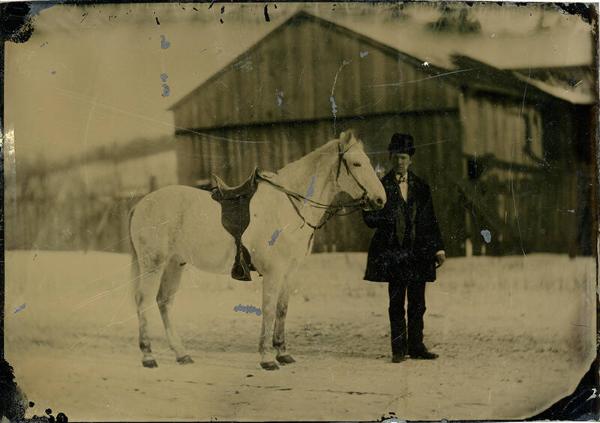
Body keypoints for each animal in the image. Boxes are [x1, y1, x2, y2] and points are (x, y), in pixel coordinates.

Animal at [129, 130, 386, 372]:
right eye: (356, 163)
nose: (380, 200)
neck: (289, 206)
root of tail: (141, 203)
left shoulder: (290, 272)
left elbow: (282, 310)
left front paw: (283, 353)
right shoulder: (273, 272)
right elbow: (269, 310)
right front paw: (267, 359)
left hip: (175, 264)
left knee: (163, 302)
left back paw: (181, 354)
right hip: (153, 264)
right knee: (144, 302)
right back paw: (148, 356)